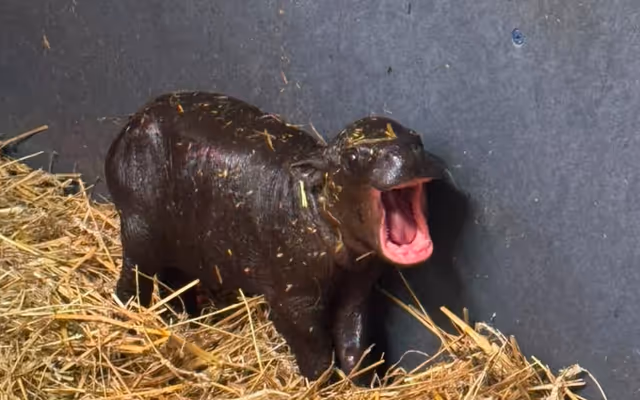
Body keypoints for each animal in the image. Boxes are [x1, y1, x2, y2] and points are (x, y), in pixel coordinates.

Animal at [104, 91, 448, 382]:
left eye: (416, 139)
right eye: (352, 158)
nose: (407, 155)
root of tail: (128, 125)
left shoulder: (357, 285)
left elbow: (354, 336)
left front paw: (363, 384)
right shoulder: (291, 298)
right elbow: (314, 346)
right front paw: (319, 385)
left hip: (181, 246)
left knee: (174, 281)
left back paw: (186, 321)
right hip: (139, 229)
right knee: (133, 275)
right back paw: (131, 319)